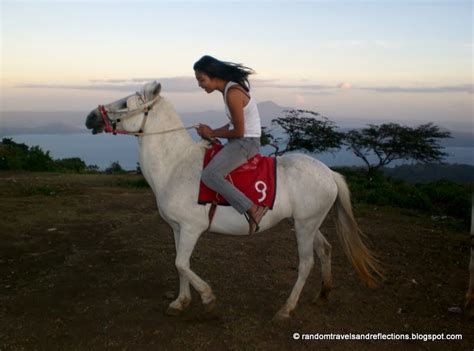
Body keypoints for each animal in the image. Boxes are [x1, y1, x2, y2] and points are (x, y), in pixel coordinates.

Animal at [84, 81, 382, 320]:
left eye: (125, 104)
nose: (90, 117)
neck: (175, 165)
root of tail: (329, 173)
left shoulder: (191, 229)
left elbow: (181, 264)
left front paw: (207, 298)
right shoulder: (177, 229)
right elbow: (179, 265)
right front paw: (181, 302)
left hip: (305, 226)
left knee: (306, 262)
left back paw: (286, 309)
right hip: (307, 223)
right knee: (325, 250)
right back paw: (323, 294)